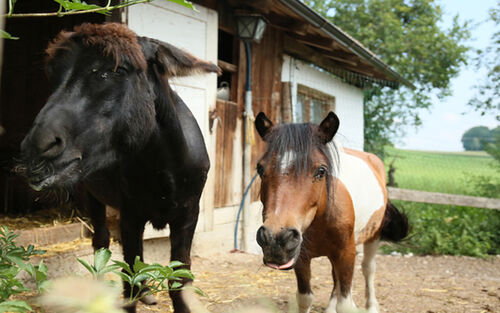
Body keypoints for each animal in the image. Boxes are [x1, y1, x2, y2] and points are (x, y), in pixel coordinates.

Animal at [18, 22, 218, 312]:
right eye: (53, 75)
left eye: (117, 70)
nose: (36, 150)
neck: (164, 166)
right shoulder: (131, 213)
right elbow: (129, 280)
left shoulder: (188, 215)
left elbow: (179, 281)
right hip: (91, 194)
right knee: (101, 242)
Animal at [254, 111, 406, 310]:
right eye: (260, 168)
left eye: (321, 171)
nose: (276, 239)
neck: (321, 219)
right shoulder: (301, 258)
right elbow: (305, 298)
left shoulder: (347, 253)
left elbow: (346, 303)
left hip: (373, 236)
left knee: (368, 269)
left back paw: (372, 306)